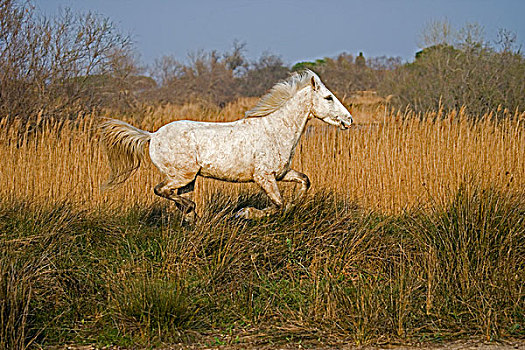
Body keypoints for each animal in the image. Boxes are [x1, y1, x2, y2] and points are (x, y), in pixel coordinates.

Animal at [99, 69, 352, 220]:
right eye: (328, 97)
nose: (348, 120)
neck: (274, 130)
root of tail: (152, 135)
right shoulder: (264, 177)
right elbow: (278, 204)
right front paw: (245, 213)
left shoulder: (281, 174)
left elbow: (304, 182)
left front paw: (294, 204)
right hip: (182, 175)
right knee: (161, 190)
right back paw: (191, 210)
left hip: (188, 180)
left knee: (176, 198)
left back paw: (191, 216)